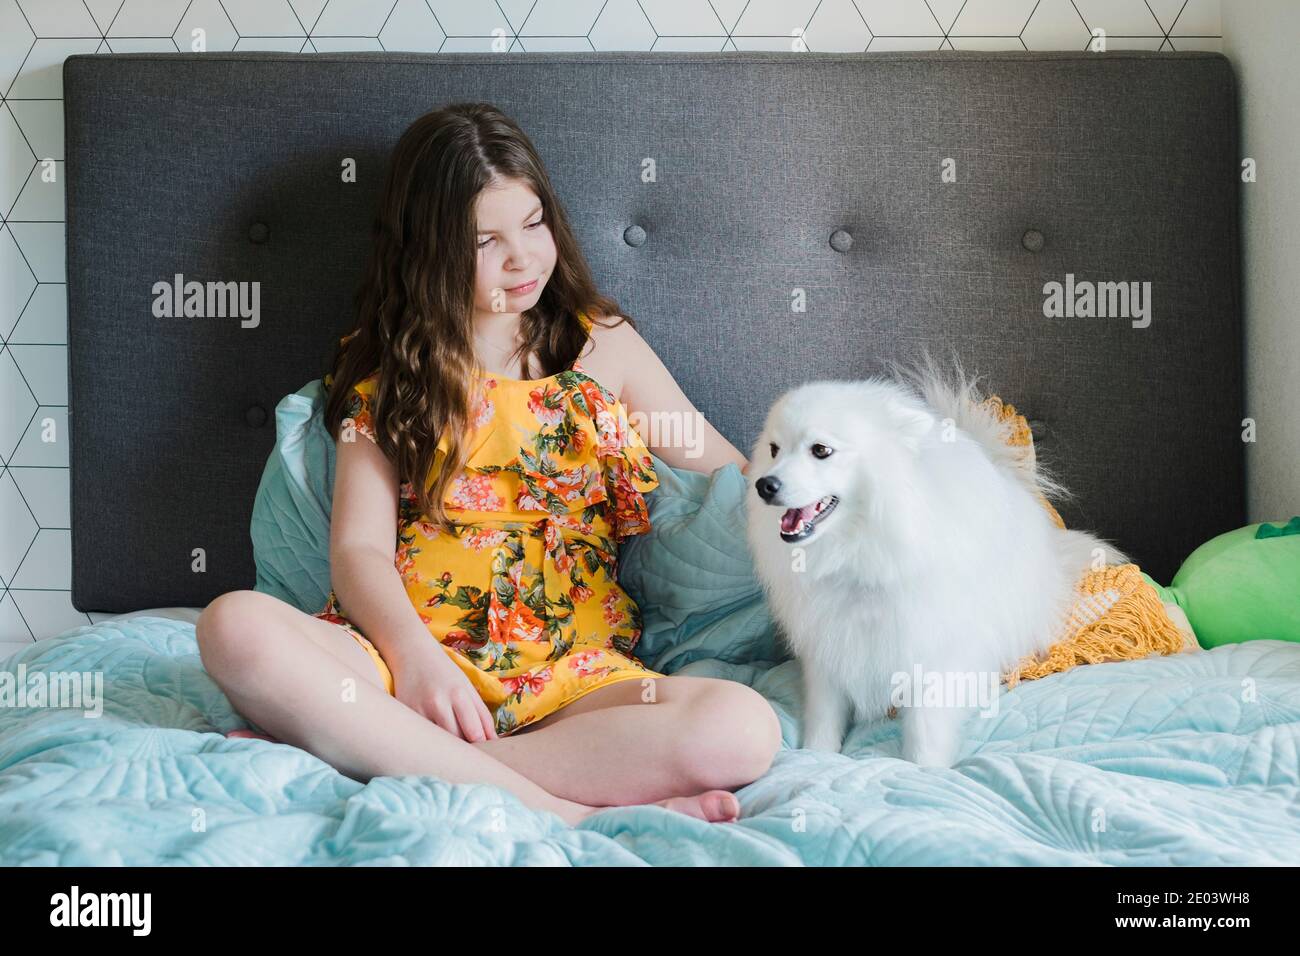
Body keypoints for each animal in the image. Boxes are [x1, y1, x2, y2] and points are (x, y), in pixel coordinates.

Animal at [748, 361, 1123, 764]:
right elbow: (824, 715)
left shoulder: (935, 651)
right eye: (774, 449)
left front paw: (923, 769)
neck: (860, 556)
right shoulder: (828, 649)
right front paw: (817, 755)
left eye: (821, 450)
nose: (764, 485)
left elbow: (925, 729)